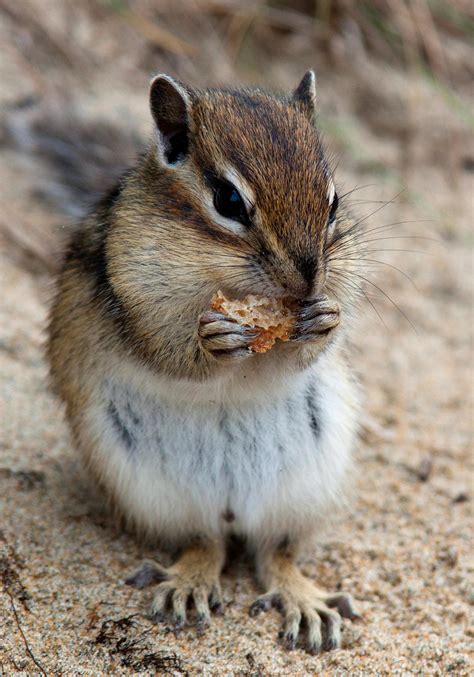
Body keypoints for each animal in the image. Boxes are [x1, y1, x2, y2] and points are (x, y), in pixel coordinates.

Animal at [47, 71, 362, 654]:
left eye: (332, 202)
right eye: (229, 200)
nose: (311, 278)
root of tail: (232, 507)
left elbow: (298, 356)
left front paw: (325, 319)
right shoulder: (133, 294)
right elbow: (167, 351)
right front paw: (212, 339)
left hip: (305, 488)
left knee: (273, 552)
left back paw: (305, 601)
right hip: (148, 490)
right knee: (206, 543)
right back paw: (189, 583)